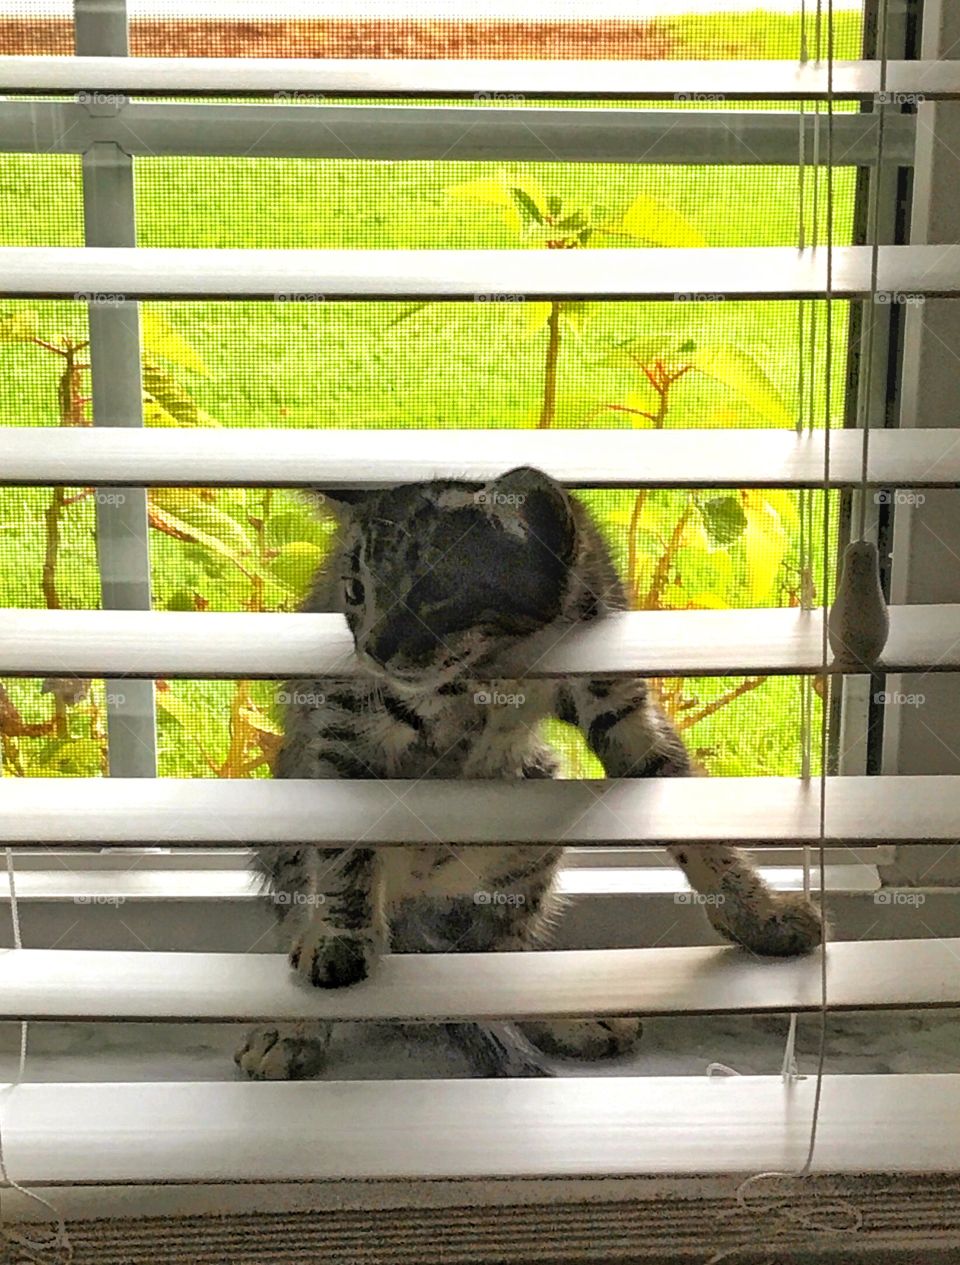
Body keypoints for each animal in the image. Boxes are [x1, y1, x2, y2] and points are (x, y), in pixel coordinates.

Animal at [236, 465, 824, 1077]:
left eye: (432, 595)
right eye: (354, 593)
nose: (372, 649)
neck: (501, 662)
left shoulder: (622, 706)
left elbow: (701, 830)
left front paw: (759, 916)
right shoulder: (346, 727)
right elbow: (344, 855)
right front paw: (339, 940)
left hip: (532, 818)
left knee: (501, 958)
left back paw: (567, 1019)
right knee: (307, 905)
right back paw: (294, 1023)